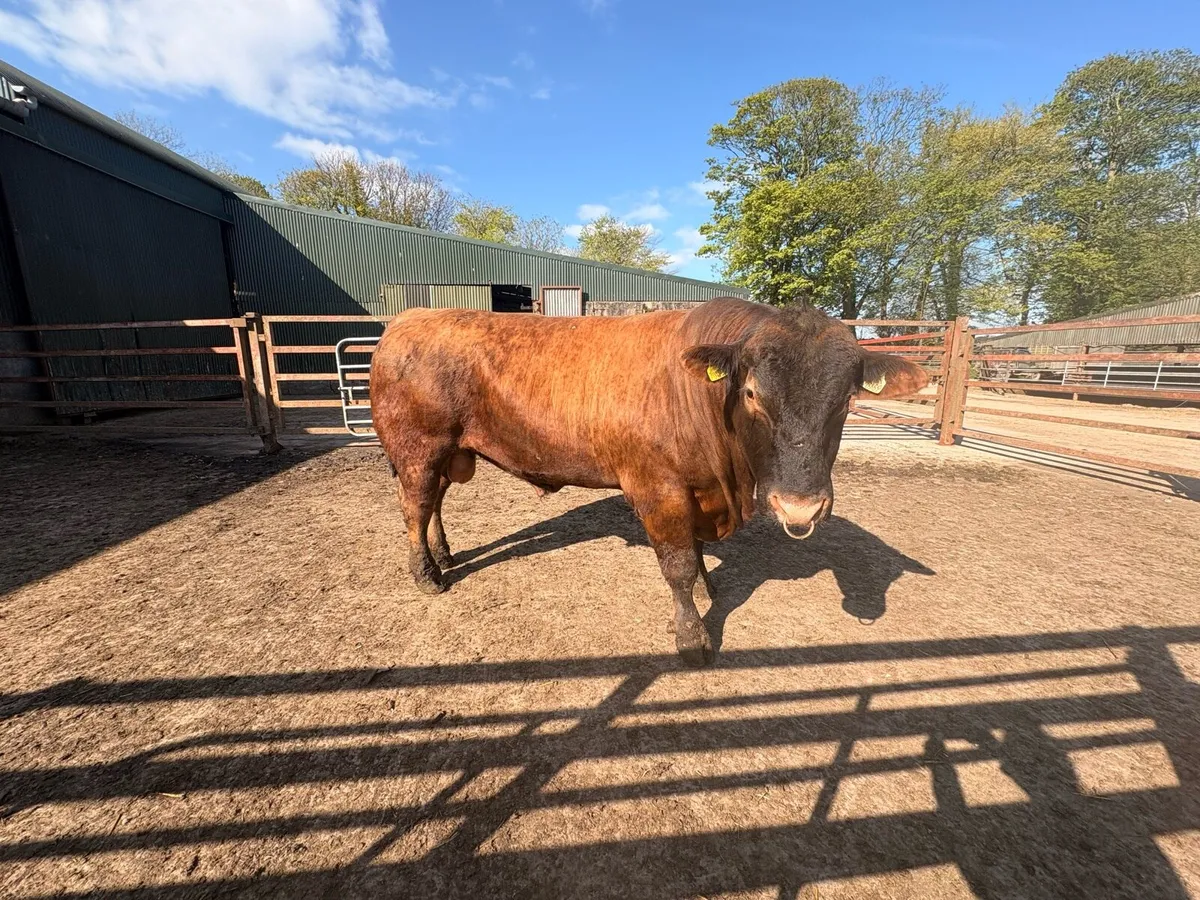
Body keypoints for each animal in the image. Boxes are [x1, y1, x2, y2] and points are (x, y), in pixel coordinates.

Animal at [369, 297, 928, 665]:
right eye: (751, 393)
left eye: (847, 400)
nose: (800, 508)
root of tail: (407, 319)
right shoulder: (658, 489)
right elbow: (676, 565)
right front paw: (693, 638)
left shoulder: (697, 492)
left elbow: (695, 554)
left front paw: (706, 588)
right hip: (418, 447)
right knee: (415, 506)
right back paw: (427, 575)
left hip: (449, 452)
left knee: (434, 503)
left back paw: (445, 555)